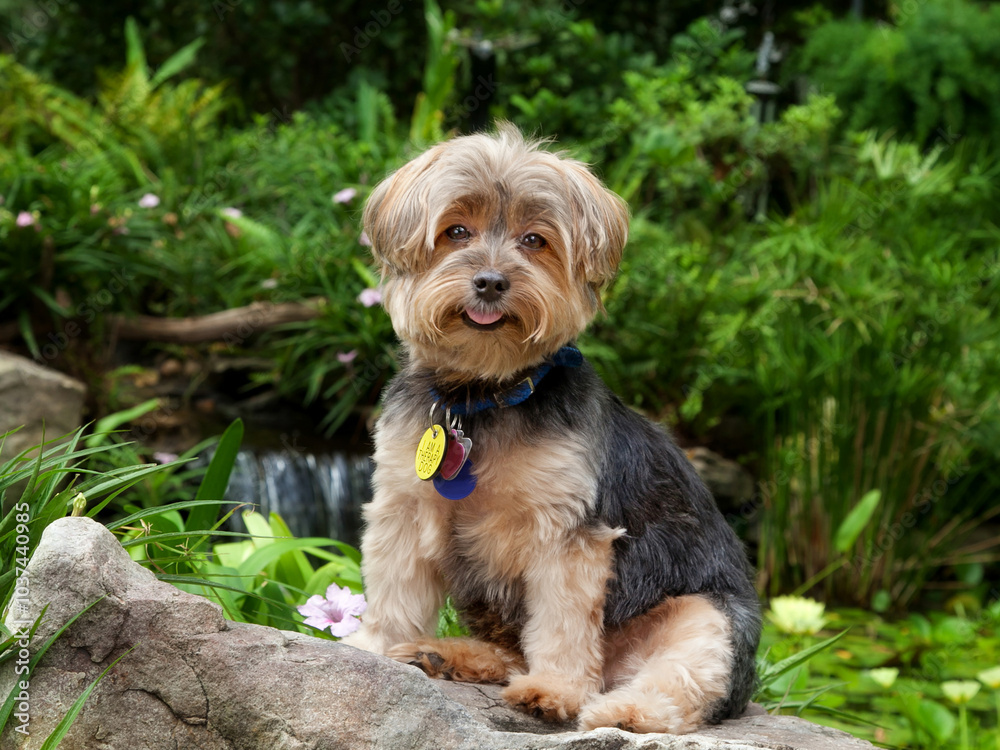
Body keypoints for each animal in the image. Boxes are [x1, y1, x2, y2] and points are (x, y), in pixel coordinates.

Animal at [342, 125, 761, 734]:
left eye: (535, 240)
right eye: (456, 231)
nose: (491, 282)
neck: (483, 396)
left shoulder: (565, 534)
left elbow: (562, 620)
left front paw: (555, 690)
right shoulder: (403, 506)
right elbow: (396, 585)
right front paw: (376, 648)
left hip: (706, 617)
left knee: (679, 686)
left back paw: (620, 710)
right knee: (513, 649)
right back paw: (449, 653)